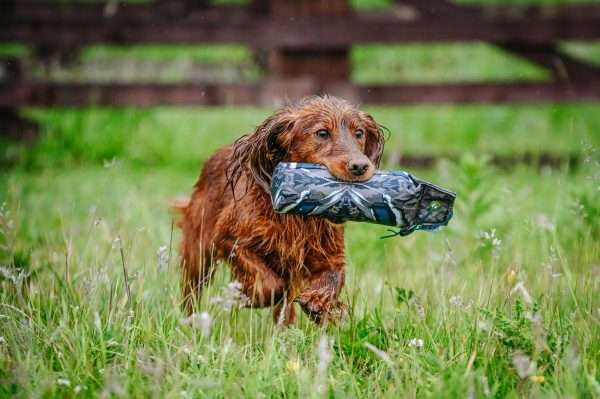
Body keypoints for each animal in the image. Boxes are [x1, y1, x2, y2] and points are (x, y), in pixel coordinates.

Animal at [177, 96, 384, 324]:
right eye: (322, 133)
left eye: (359, 133)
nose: (360, 166)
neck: (300, 218)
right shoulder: (230, 239)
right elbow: (270, 285)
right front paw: (248, 297)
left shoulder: (330, 255)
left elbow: (332, 277)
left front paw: (320, 304)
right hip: (198, 253)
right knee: (191, 293)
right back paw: (188, 322)